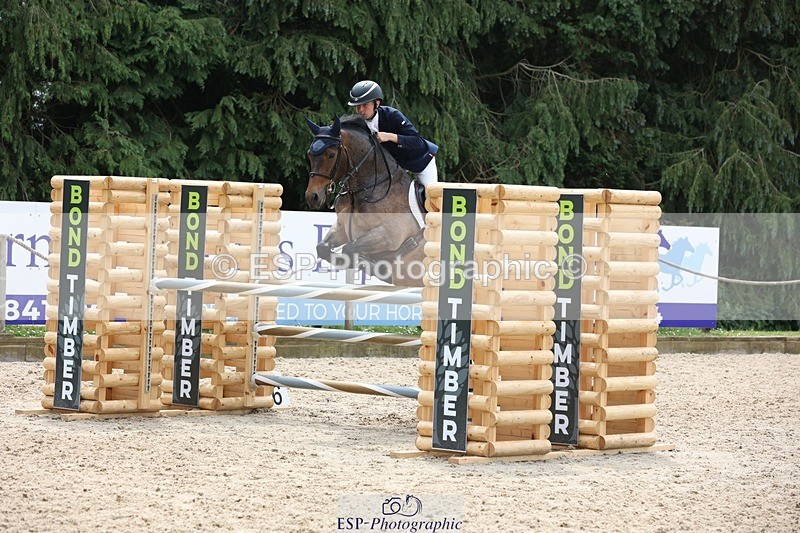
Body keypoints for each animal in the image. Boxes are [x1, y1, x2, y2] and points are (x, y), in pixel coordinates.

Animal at [304, 115, 427, 287]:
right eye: (310, 154)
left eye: (331, 154)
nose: (312, 197)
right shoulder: (343, 227)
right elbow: (323, 247)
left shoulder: (388, 236)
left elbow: (349, 249)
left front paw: (365, 264)